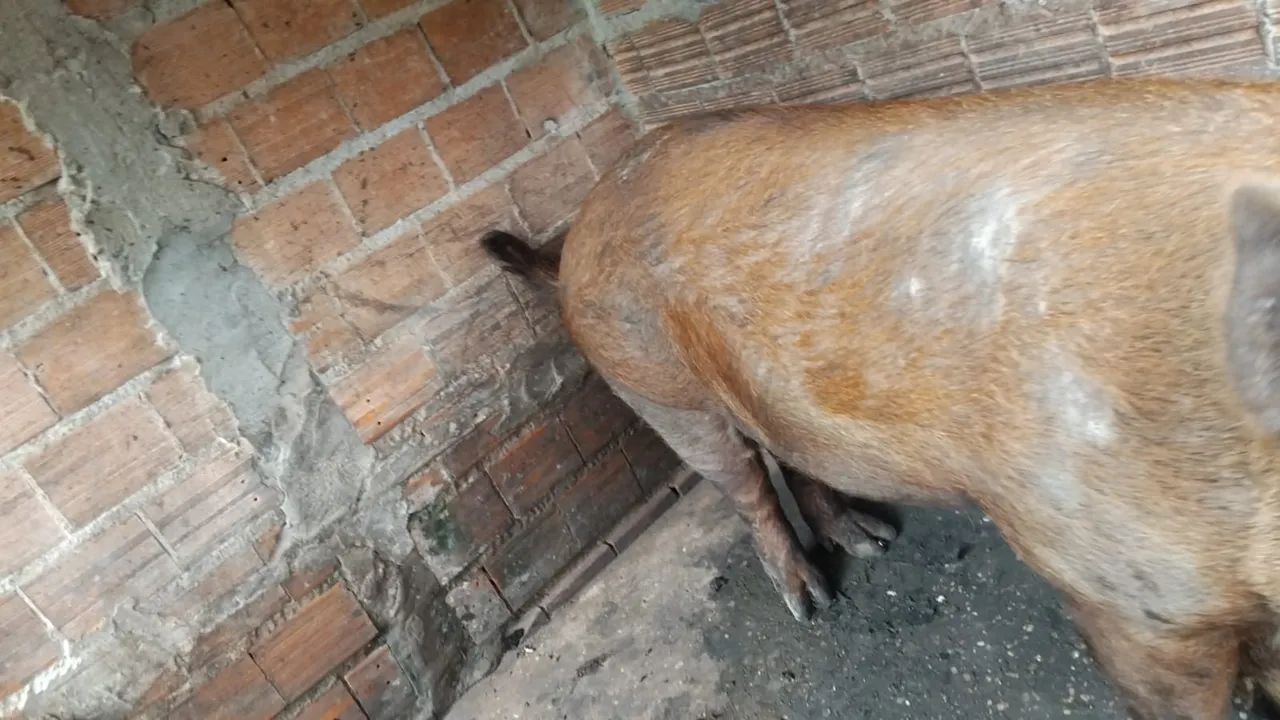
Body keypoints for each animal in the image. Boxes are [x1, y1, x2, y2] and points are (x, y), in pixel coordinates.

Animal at [479, 76, 1280, 719]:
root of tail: (576, 229)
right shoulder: (1125, 589)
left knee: (790, 450)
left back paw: (870, 540)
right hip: (654, 382)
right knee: (744, 484)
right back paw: (813, 602)